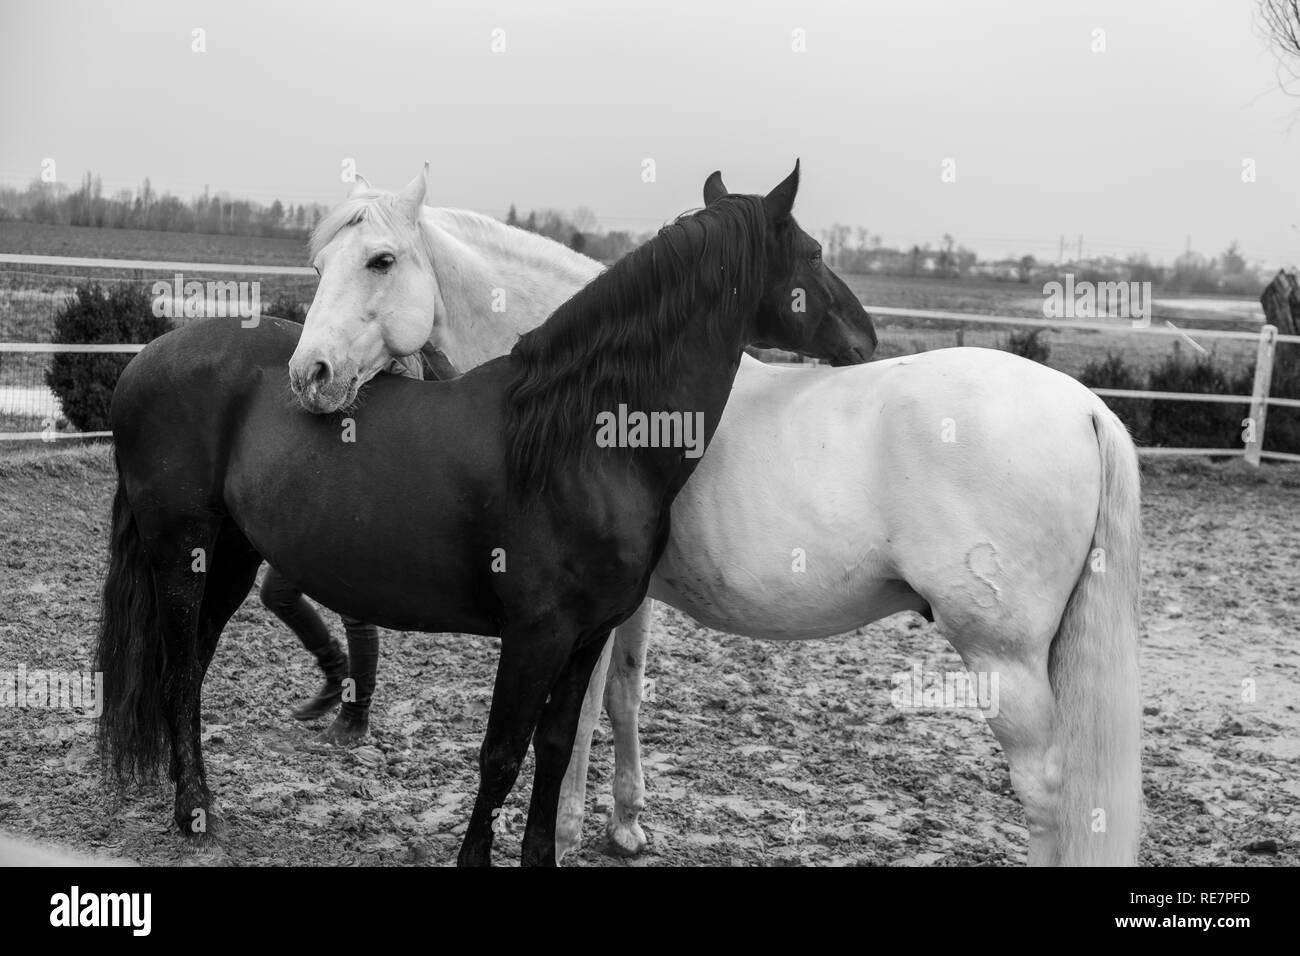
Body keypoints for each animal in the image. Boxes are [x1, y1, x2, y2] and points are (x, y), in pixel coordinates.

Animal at [96, 164, 878, 868]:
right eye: (813, 253)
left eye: (379, 260)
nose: (866, 339)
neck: (582, 437)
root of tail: (145, 358)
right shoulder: (535, 634)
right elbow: (502, 754)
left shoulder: (588, 634)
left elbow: (555, 747)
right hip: (181, 553)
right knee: (177, 671)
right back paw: (194, 813)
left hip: (230, 555)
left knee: (192, 666)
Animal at [292, 167, 1138, 868]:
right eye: (321, 266)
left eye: (380, 260)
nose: (311, 375)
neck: (595, 403)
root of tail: (1087, 409)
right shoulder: (627, 604)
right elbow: (623, 697)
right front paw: (626, 824)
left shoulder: (578, 616)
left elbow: (577, 717)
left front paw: (565, 829)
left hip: (1003, 660)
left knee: (1046, 790)